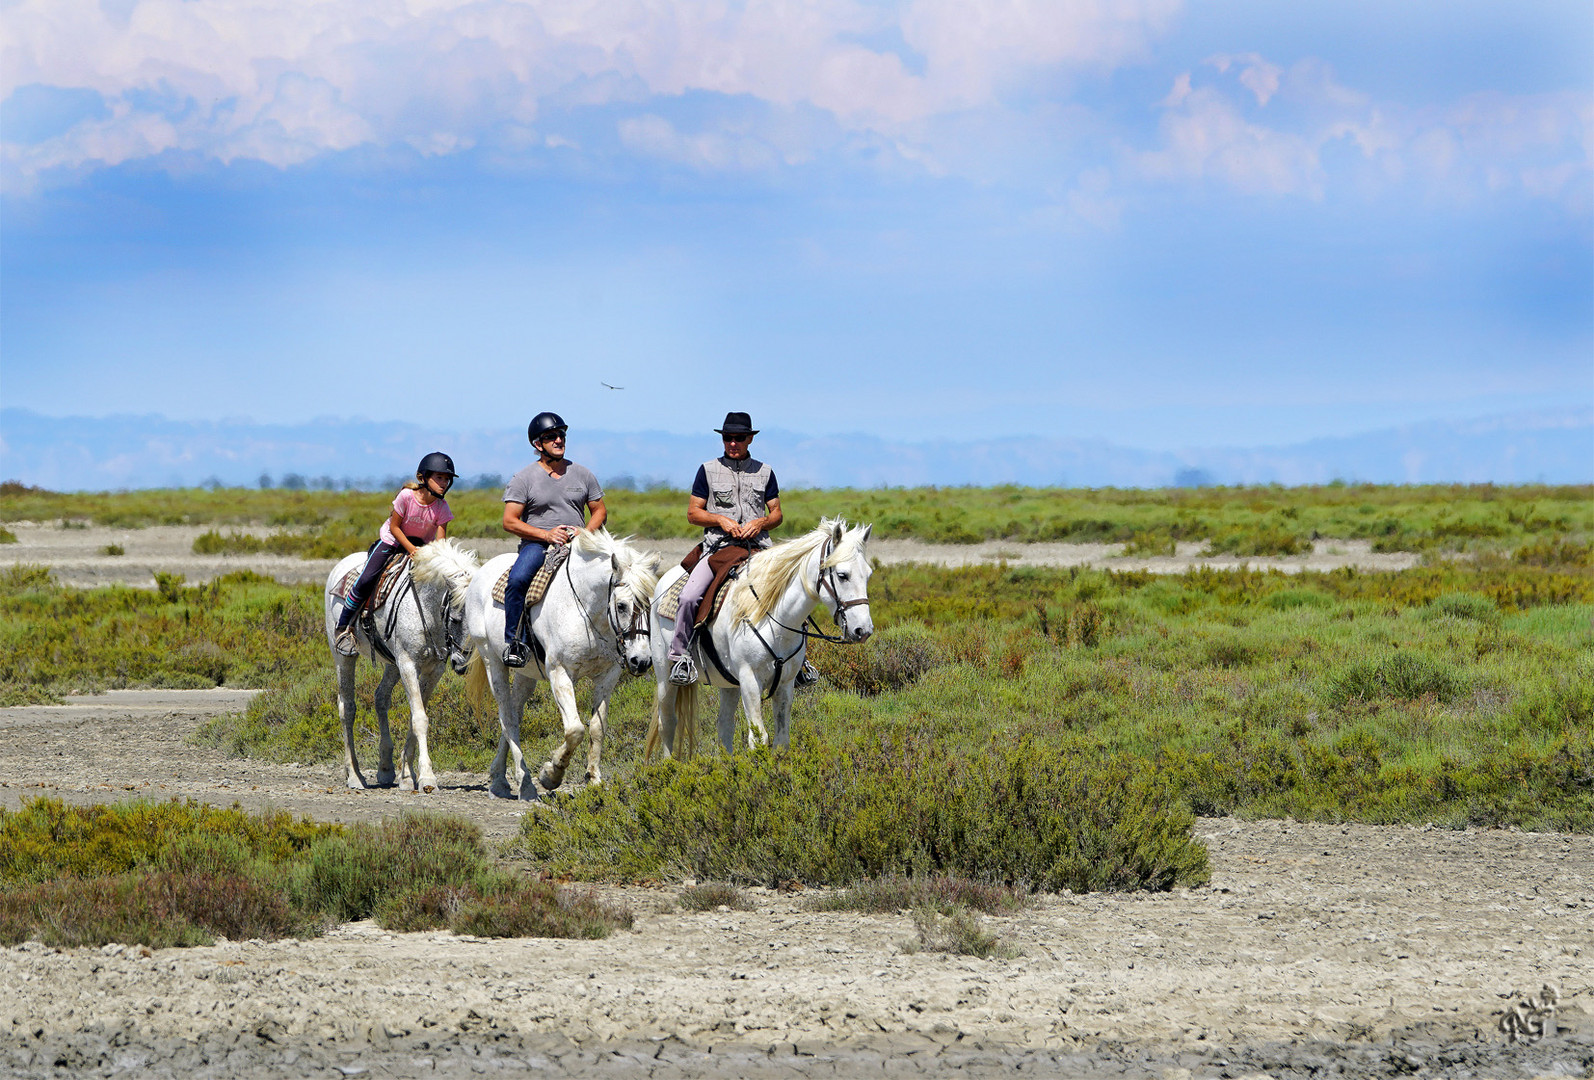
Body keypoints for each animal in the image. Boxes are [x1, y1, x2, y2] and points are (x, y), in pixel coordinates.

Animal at [320, 541, 475, 796]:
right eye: (455, 618)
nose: (462, 663)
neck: (426, 608)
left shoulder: (433, 670)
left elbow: (416, 715)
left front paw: (407, 776)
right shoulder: (408, 664)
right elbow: (420, 718)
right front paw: (427, 778)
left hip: (392, 664)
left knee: (380, 698)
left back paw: (385, 769)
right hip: (343, 657)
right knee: (347, 708)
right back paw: (354, 776)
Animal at [462, 532, 659, 802]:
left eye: (650, 605)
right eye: (621, 606)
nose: (641, 661)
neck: (586, 612)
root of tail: (482, 572)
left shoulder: (607, 675)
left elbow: (597, 728)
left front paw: (594, 780)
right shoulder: (560, 673)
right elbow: (575, 730)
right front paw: (551, 774)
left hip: (527, 674)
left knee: (515, 712)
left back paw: (499, 780)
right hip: (493, 662)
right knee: (507, 718)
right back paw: (525, 784)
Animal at [643, 519, 873, 761]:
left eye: (868, 575)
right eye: (842, 575)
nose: (863, 630)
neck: (774, 618)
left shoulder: (784, 684)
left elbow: (781, 740)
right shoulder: (750, 680)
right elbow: (759, 738)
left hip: (728, 684)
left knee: (724, 726)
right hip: (665, 675)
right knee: (668, 722)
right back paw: (670, 766)